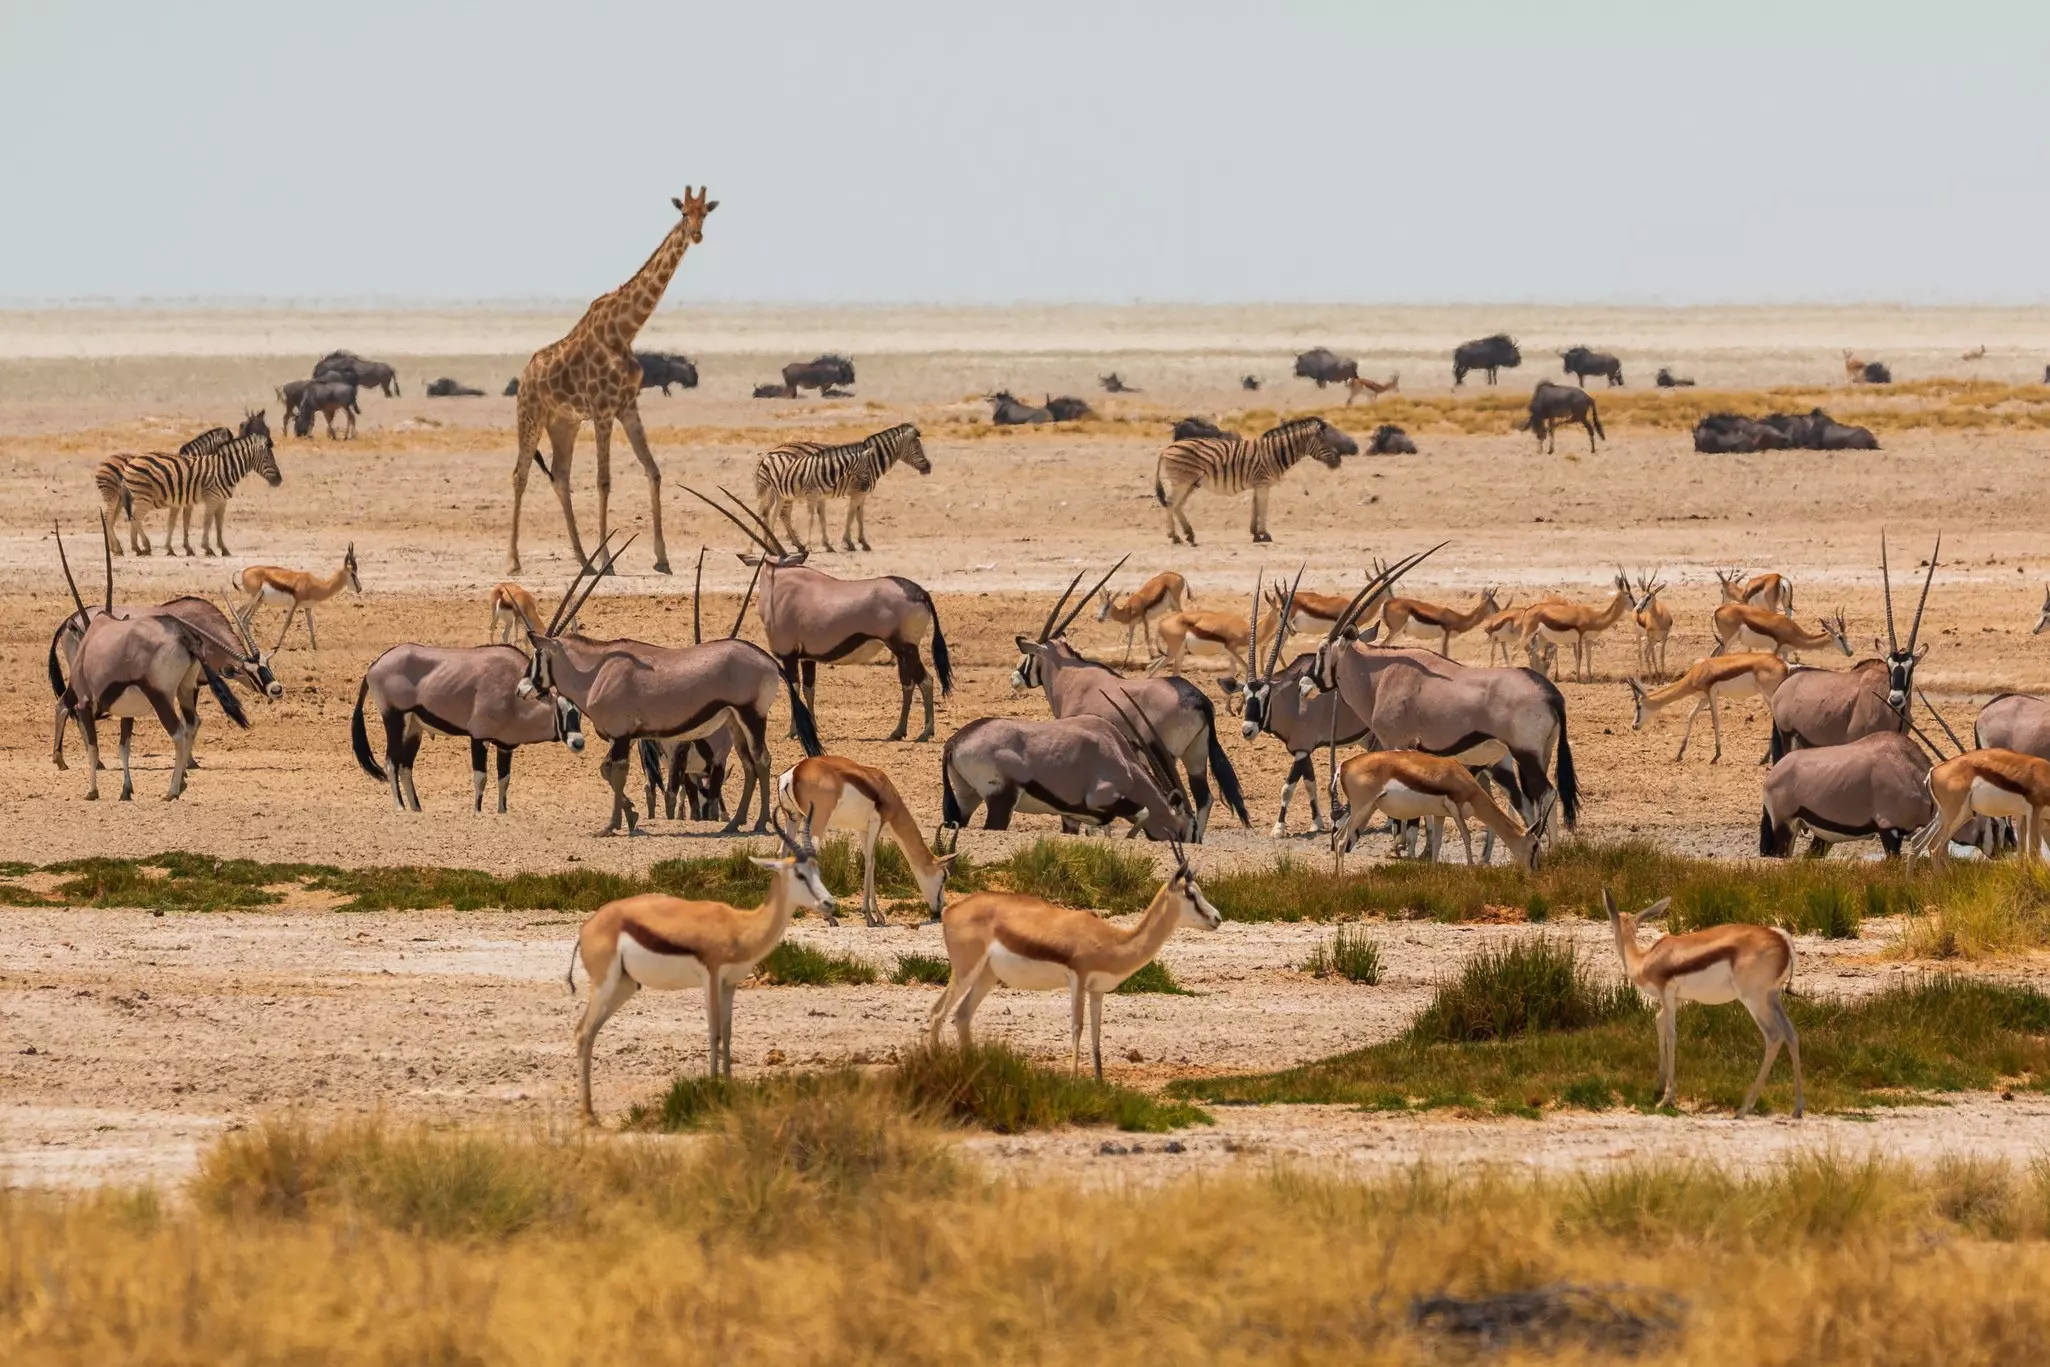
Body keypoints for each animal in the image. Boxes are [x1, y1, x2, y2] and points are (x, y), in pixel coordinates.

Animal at [506, 187, 718, 575]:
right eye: (683, 213)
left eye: (704, 213)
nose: (696, 234)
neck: (624, 331)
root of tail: (525, 374)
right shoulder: (603, 409)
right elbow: (603, 481)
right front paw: (607, 559)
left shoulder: (627, 406)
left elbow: (653, 471)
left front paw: (661, 559)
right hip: (530, 414)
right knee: (521, 474)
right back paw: (514, 561)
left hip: (564, 423)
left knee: (560, 476)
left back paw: (581, 560)